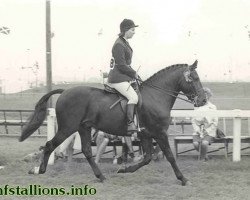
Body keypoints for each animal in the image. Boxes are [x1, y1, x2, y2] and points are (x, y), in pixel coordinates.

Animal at [19, 60, 206, 186]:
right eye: (194, 78)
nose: (203, 100)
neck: (156, 96)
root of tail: (65, 91)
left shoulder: (146, 134)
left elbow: (147, 158)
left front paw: (124, 169)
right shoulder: (159, 133)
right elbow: (169, 156)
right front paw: (183, 179)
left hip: (83, 128)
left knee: (87, 151)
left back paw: (101, 176)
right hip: (67, 128)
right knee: (50, 145)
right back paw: (39, 170)